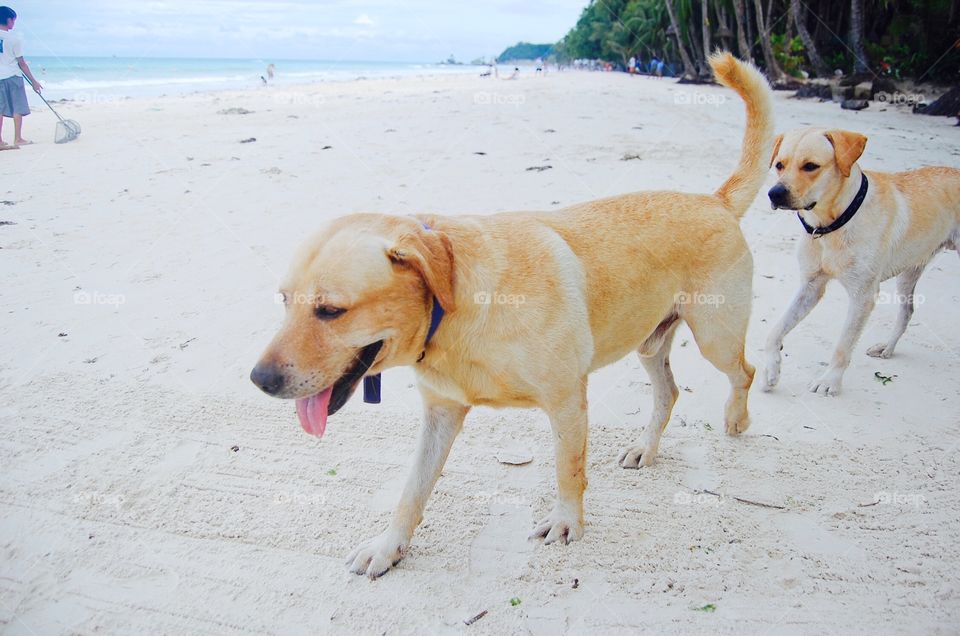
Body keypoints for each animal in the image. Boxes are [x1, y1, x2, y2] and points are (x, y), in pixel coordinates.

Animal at [251, 53, 776, 576]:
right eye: (284, 300)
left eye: (330, 310)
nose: (259, 379)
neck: (456, 310)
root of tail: (714, 199)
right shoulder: (440, 414)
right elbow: (411, 491)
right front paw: (389, 545)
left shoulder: (567, 402)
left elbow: (568, 471)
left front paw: (567, 522)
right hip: (650, 344)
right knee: (668, 393)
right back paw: (647, 447)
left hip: (715, 337)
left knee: (745, 372)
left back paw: (737, 418)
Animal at [760, 127, 956, 396]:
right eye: (779, 165)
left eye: (811, 166)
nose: (775, 193)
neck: (832, 223)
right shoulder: (810, 286)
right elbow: (775, 331)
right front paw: (771, 368)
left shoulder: (863, 295)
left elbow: (843, 345)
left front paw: (829, 380)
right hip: (909, 272)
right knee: (907, 312)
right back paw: (887, 348)